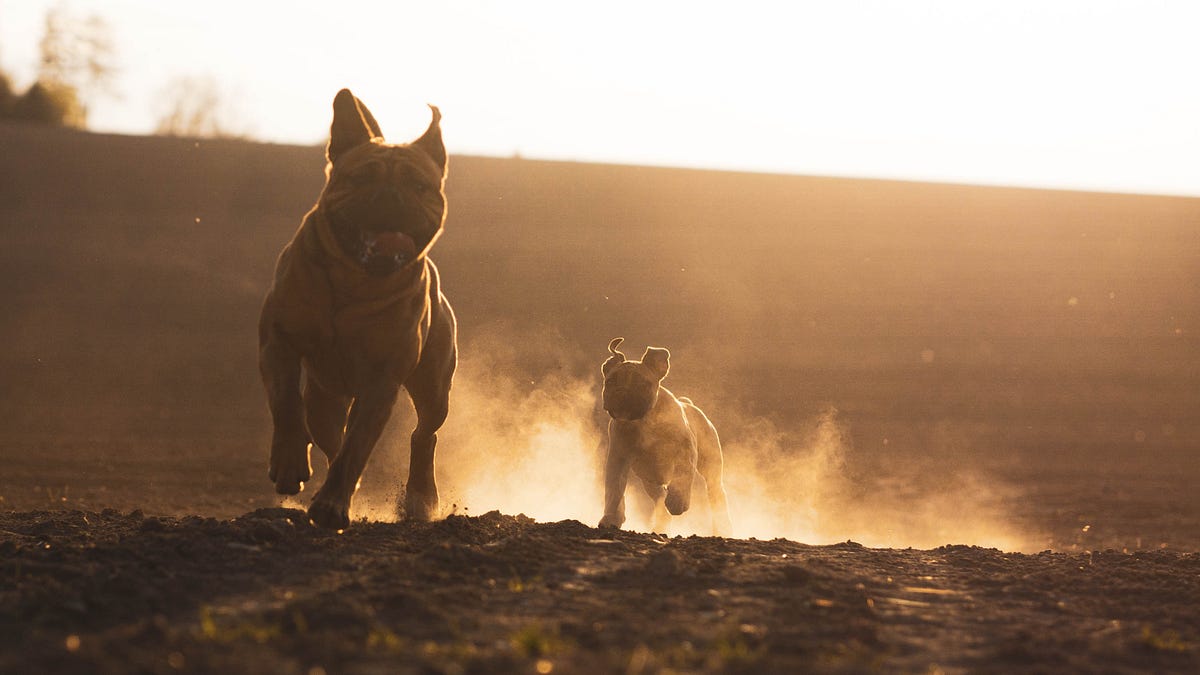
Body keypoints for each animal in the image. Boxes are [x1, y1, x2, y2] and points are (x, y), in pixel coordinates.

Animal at [258, 89, 453, 528]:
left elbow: (358, 447)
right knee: (329, 437)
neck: (356, 283)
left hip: (434, 385)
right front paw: (290, 465)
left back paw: (419, 499)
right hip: (325, 397)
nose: (391, 197)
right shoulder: (279, 340)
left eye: (419, 185)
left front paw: (332, 507)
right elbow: (286, 403)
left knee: (423, 434)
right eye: (361, 178)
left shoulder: (383, 379)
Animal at [597, 338, 729, 533]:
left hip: (710, 467)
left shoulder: (685, 451)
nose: (623, 393)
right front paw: (611, 518)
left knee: (715, 492)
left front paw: (677, 501)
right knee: (659, 496)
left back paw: (722, 526)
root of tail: (689, 403)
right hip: (649, 479)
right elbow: (614, 490)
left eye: (643, 384)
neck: (645, 420)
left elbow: (682, 475)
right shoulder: (619, 457)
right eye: (611, 381)